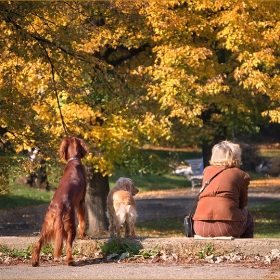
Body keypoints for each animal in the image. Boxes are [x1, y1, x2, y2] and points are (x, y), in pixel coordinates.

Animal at [30, 138, 88, 266]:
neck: (73, 161)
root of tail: (59, 205)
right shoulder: (81, 201)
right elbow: (82, 220)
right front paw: (83, 235)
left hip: (48, 224)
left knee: (39, 242)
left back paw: (35, 261)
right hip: (70, 224)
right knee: (69, 245)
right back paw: (70, 261)